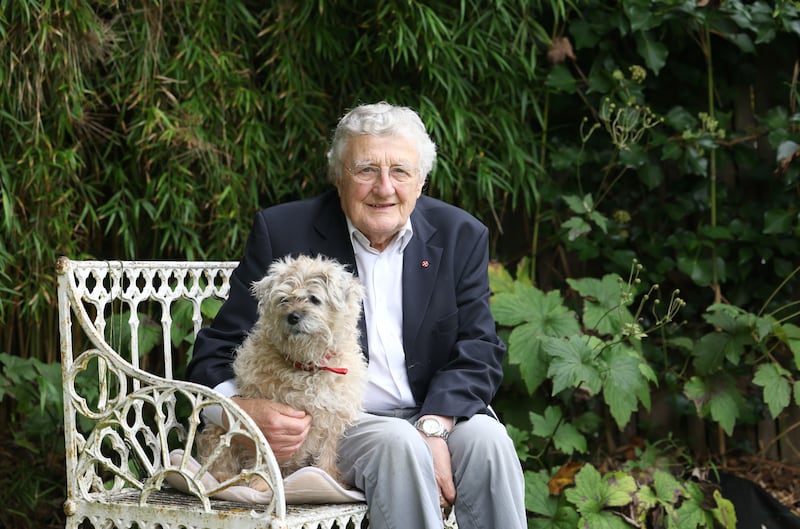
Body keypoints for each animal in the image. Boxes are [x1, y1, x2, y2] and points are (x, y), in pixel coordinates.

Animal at [197, 254, 366, 488]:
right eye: (283, 299)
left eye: (314, 299)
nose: (292, 316)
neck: (308, 365)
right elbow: (266, 457)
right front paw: (259, 485)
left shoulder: (331, 422)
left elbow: (326, 454)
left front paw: (329, 478)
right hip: (219, 434)